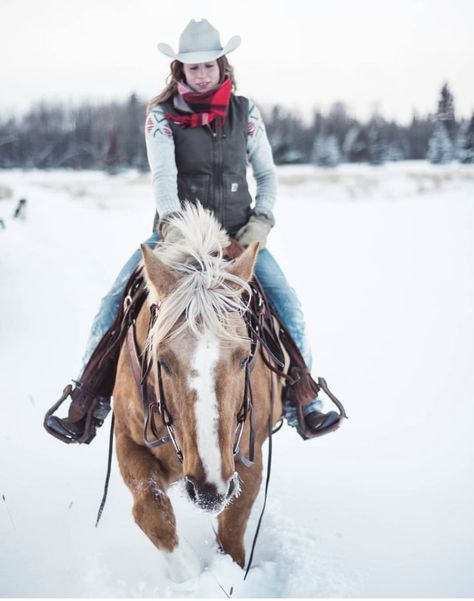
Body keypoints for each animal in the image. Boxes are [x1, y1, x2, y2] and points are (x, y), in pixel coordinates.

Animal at [113, 204, 284, 580]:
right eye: (162, 361)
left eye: (244, 357)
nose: (209, 489)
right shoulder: (127, 441)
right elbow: (151, 511)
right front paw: (189, 574)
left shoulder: (247, 458)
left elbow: (231, 536)